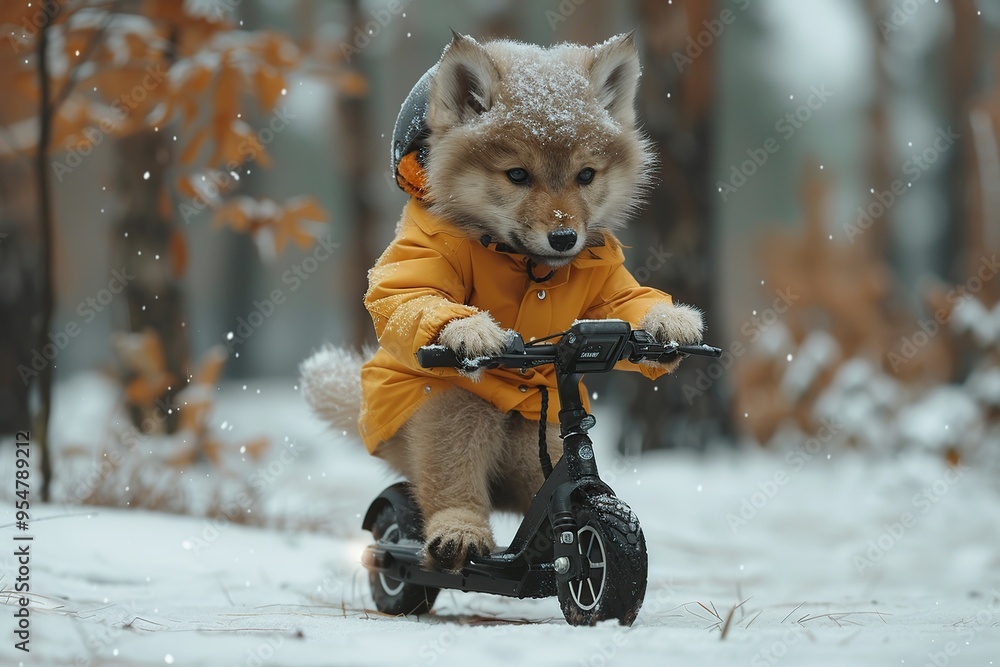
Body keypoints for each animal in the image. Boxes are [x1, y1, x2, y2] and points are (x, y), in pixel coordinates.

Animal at [302, 34, 704, 572]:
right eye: (517, 174)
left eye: (585, 175)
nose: (564, 237)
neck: (527, 265)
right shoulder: (422, 255)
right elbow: (407, 293)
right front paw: (469, 329)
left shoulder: (608, 278)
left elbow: (630, 298)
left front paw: (671, 321)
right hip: (443, 416)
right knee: (445, 476)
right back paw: (457, 531)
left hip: (541, 442)